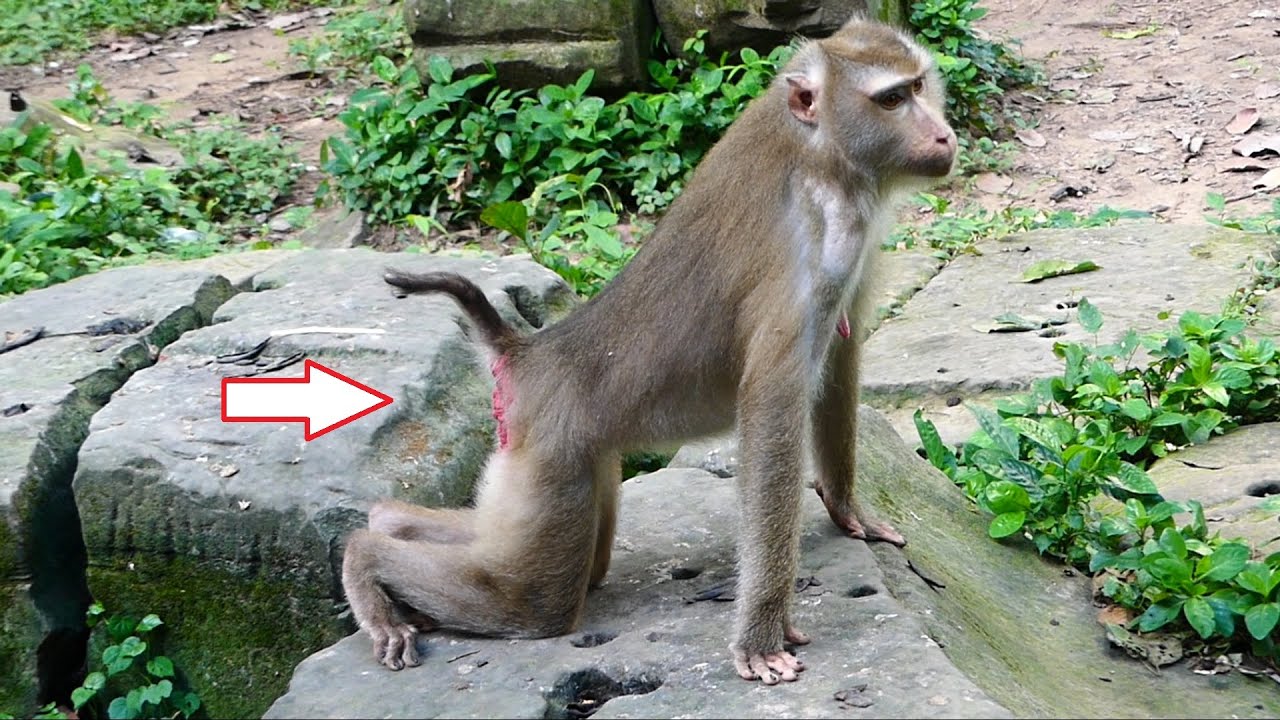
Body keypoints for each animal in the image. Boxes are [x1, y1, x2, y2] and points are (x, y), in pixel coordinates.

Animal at [341, 16, 956, 685]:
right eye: (893, 100)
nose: (944, 134)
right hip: (550, 453)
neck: (824, 154)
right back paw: (366, 561)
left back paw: (385, 524)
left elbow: (841, 360)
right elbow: (772, 407)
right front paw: (762, 633)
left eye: (920, 85)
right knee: (533, 600)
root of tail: (524, 352)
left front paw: (847, 508)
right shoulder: (819, 243)